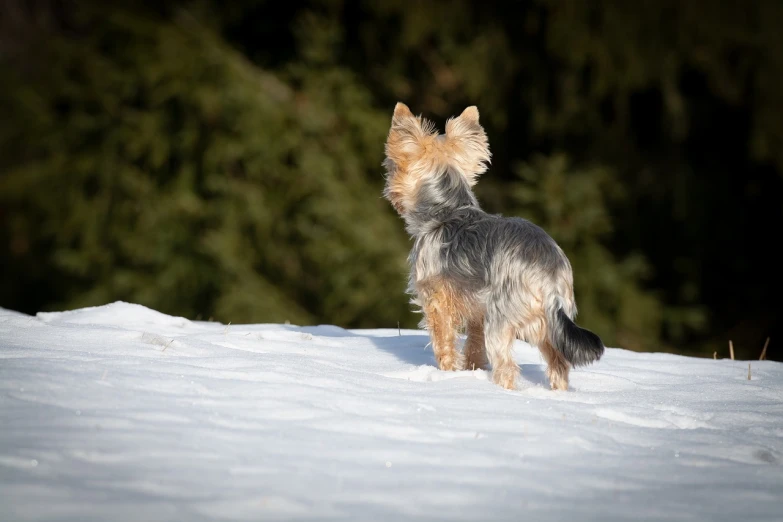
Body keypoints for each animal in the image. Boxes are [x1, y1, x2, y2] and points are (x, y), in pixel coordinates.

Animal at [382, 101, 604, 388]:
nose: (391, 191)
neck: (447, 210)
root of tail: (549, 278)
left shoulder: (435, 297)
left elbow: (444, 341)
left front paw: (447, 373)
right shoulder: (477, 309)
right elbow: (475, 345)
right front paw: (472, 370)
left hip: (501, 319)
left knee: (507, 366)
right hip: (549, 324)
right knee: (559, 364)